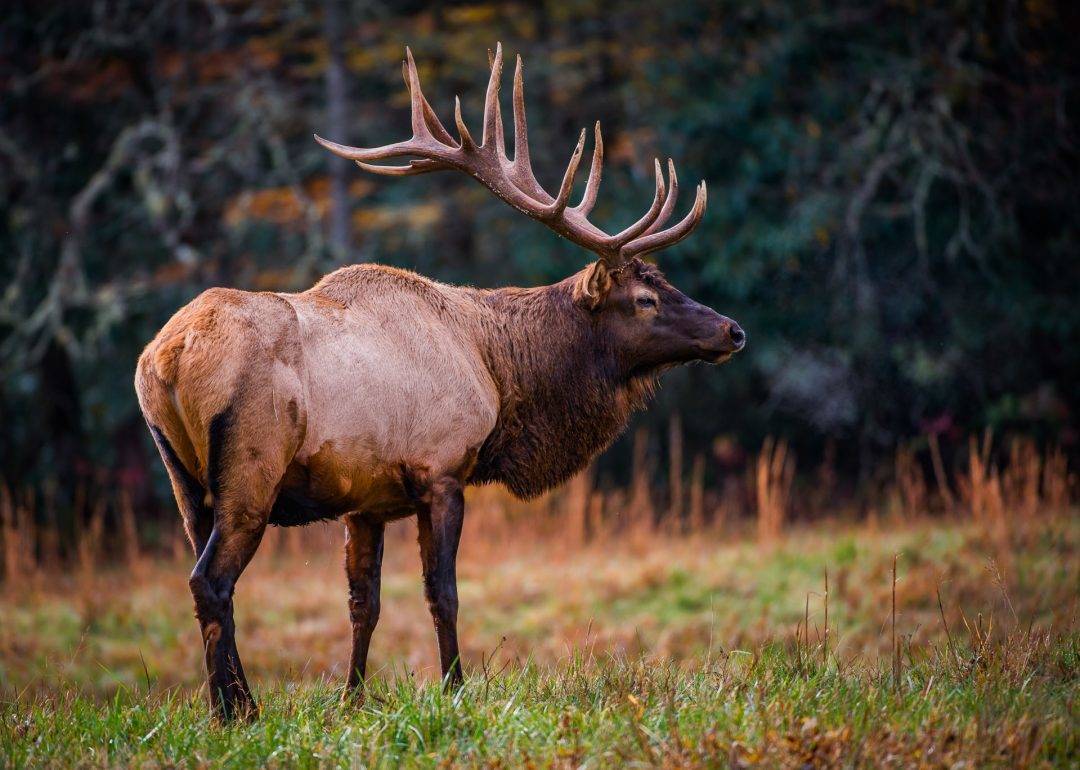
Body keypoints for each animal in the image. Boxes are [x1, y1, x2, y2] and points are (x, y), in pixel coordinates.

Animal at [134, 43, 745, 721]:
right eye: (644, 298)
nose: (732, 331)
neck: (497, 372)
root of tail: (167, 358)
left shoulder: (365, 500)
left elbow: (364, 603)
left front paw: (353, 698)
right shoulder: (443, 469)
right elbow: (442, 592)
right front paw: (455, 689)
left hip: (182, 478)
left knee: (206, 578)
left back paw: (235, 704)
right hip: (251, 465)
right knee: (210, 581)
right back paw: (235, 711)